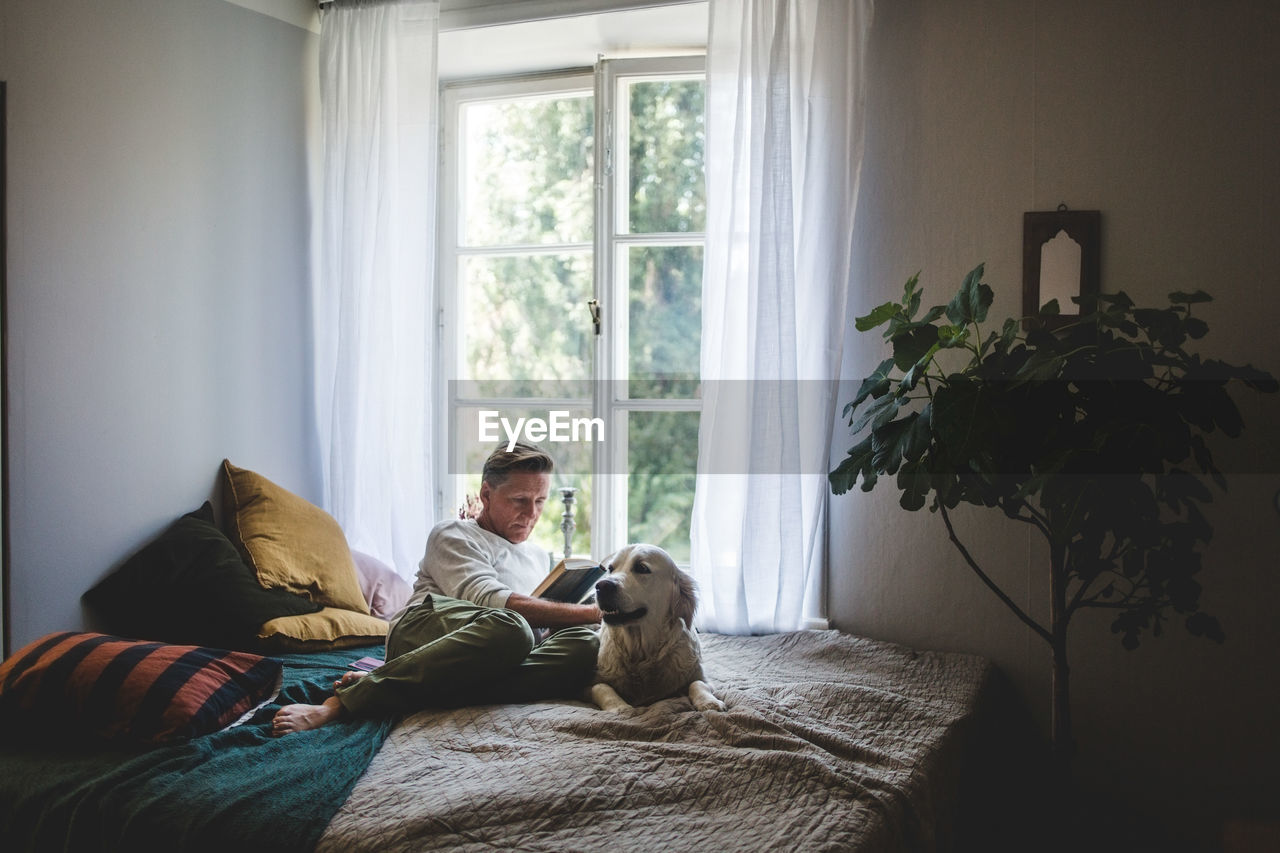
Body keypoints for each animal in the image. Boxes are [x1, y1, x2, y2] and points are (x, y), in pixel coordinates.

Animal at [586, 545, 727, 712]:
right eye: (610, 569)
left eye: (641, 568)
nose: (601, 586)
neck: (641, 652)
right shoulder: (588, 684)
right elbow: (602, 687)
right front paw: (620, 707)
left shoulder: (702, 677)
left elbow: (697, 683)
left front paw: (708, 701)